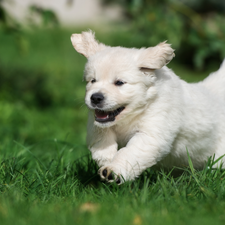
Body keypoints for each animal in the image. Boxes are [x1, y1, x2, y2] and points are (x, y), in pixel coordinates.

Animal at [71, 30, 225, 185]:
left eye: (119, 82)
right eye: (92, 80)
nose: (95, 98)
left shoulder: (153, 132)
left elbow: (130, 153)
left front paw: (114, 170)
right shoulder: (97, 124)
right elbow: (101, 140)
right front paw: (107, 159)